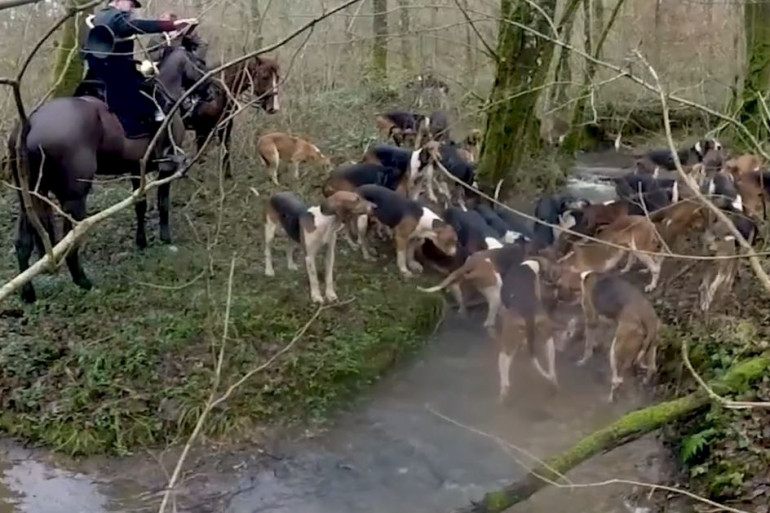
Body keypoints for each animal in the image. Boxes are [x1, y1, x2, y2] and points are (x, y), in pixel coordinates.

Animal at [6, 44, 210, 302]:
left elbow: (140, 205)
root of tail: (30, 123)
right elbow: (163, 203)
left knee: (23, 242)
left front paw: (141, 242)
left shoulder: (136, 170)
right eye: (199, 62)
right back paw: (83, 282)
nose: (210, 91)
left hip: (29, 195)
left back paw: (28, 293)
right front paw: (166, 238)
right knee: (70, 240)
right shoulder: (166, 169)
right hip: (73, 198)